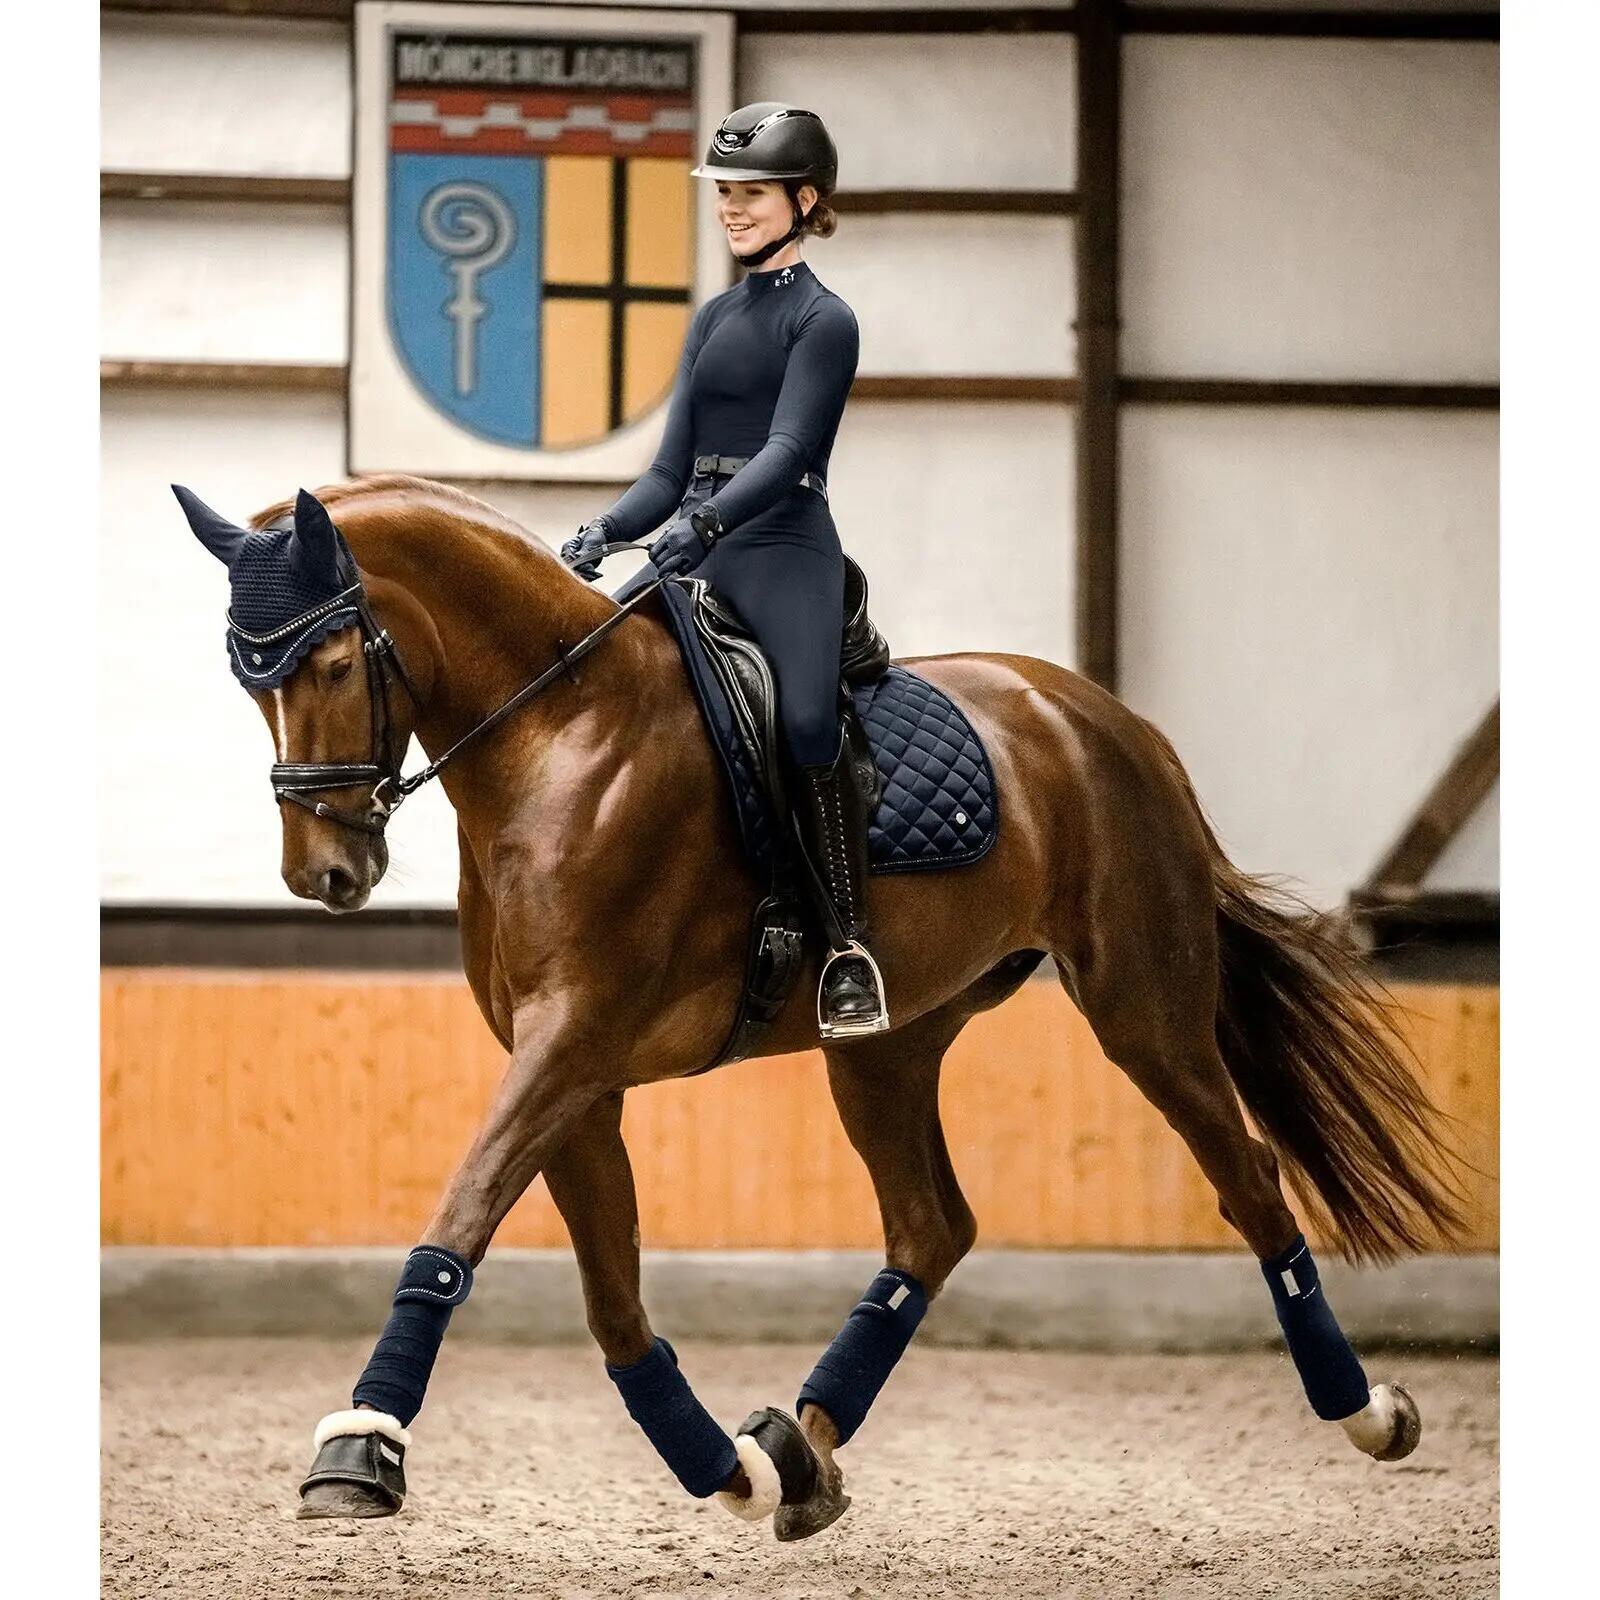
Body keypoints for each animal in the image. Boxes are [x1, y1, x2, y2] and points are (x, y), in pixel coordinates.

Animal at [174, 473, 1461, 1539]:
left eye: (334, 666)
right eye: (247, 683)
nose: (323, 875)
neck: (559, 736)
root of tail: (1109, 720)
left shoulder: (571, 1041)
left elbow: (456, 1223)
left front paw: (360, 1449)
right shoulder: (575, 1074)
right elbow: (612, 1302)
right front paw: (730, 1471)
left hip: (1144, 1008)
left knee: (1247, 1181)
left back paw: (1367, 1412)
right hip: (887, 1044)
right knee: (931, 1225)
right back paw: (802, 1446)